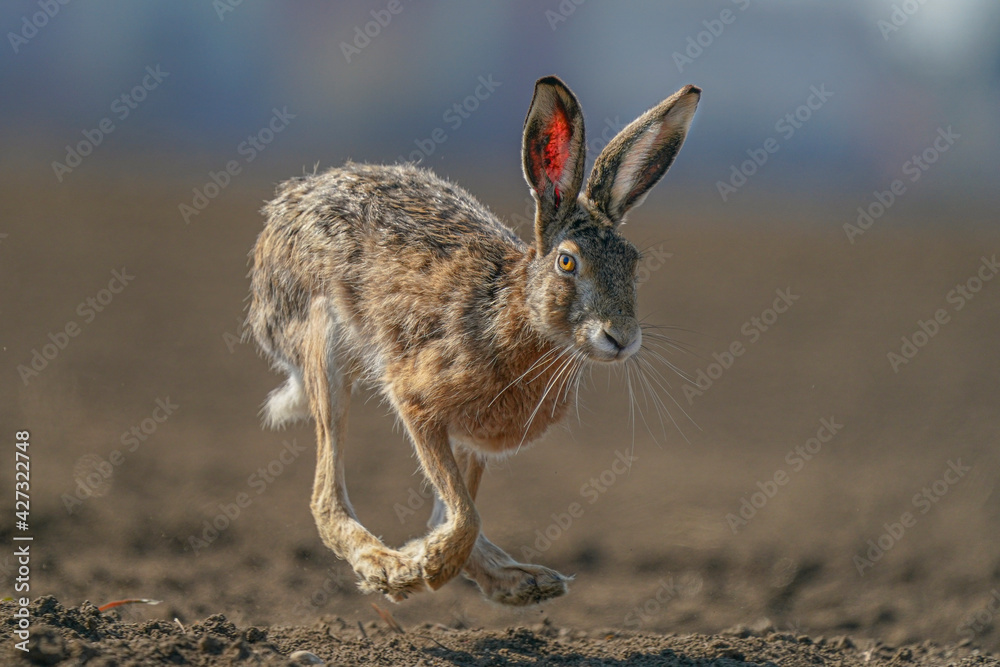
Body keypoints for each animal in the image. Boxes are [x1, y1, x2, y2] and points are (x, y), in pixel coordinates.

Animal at [246, 75, 700, 606]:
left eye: (633, 262)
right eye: (567, 262)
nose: (621, 338)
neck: (518, 311)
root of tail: (283, 212)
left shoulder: (472, 441)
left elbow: (457, 510)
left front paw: (471, 568)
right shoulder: (416, 402)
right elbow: (464, 515)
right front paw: (425, 567)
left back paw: (520, 580)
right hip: (321, 343)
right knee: (326, 493)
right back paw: (385, 566)